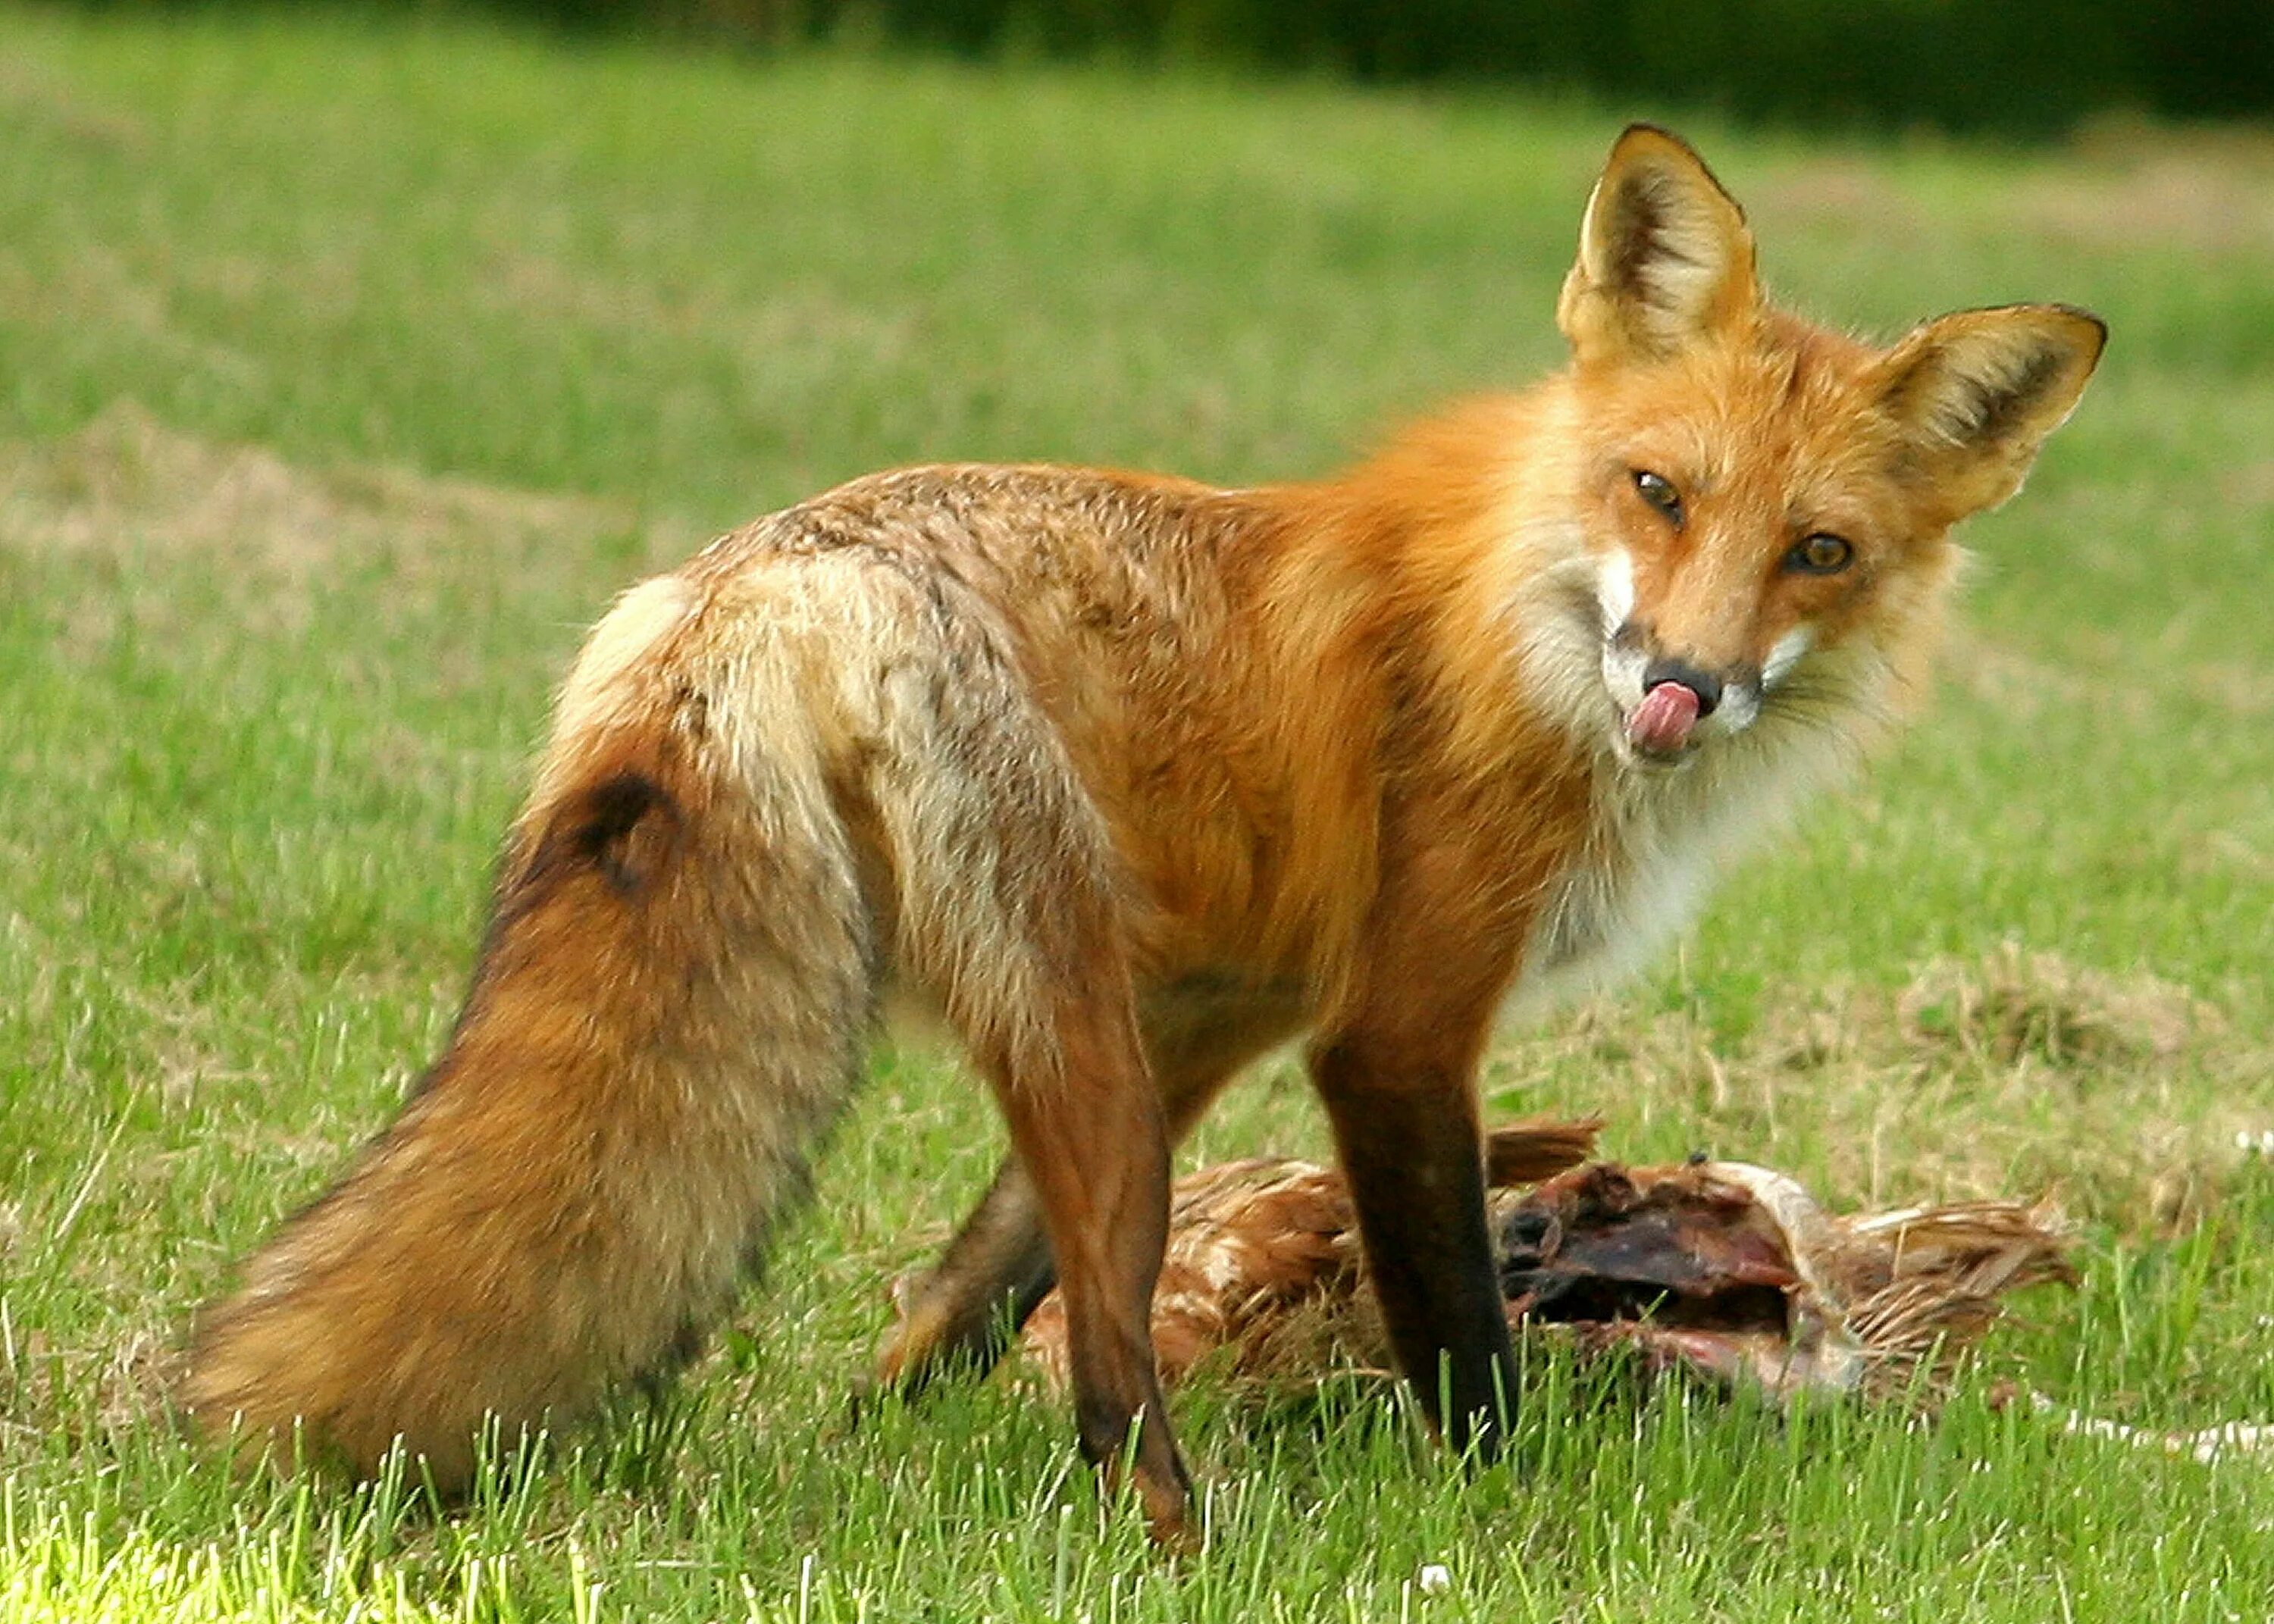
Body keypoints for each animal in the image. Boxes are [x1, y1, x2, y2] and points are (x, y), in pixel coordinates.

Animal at [186, 123, 2101, 1528]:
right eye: (1658, 493)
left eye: (1819, 553)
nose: (1683, 686)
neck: (1522, 621)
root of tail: (757, 579)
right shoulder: (1391, 1036)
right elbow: (1462, 1343)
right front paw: (1514, 1525)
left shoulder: (1220, 1020)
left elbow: (946, 1309)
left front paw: (867, 1443)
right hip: (1083, 1042)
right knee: (1119, 1390)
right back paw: (1190, 1545)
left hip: (1103, 1065)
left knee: (1042, 1336)